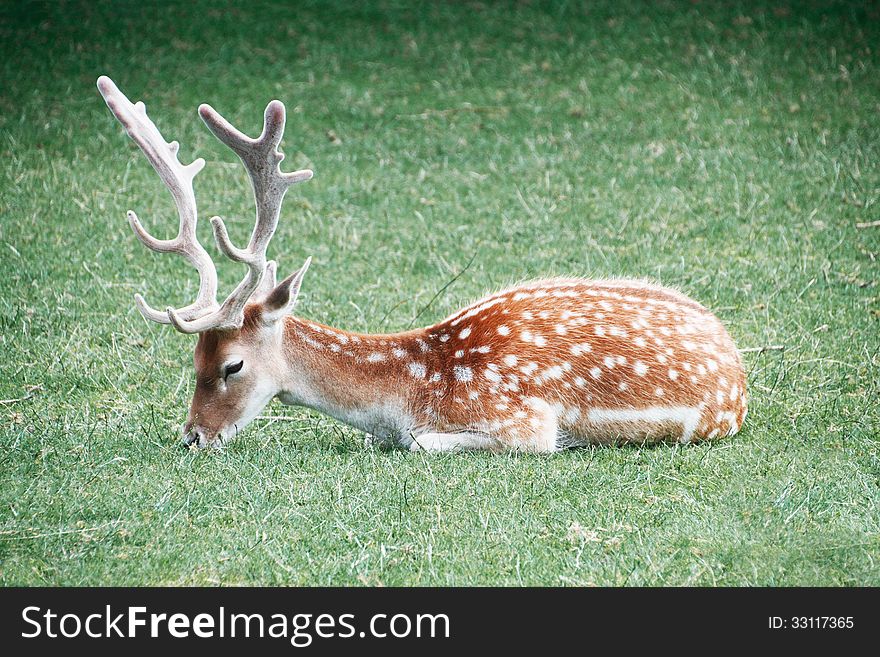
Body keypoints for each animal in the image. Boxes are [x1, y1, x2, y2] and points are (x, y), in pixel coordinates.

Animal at [99, 75, 748, 452]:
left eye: (231, 364)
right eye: (193, 359)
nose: (193, 436)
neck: (411, 389)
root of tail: (740, 371)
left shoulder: (521, 421)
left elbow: (421, 444)